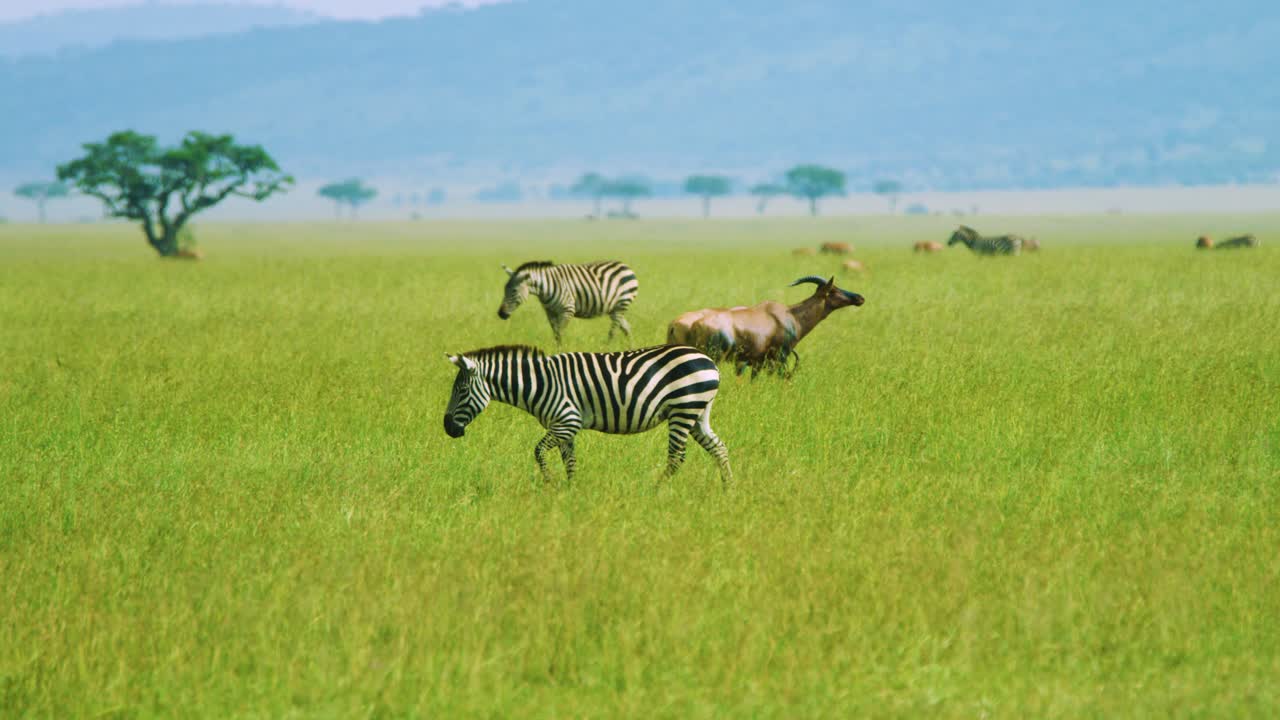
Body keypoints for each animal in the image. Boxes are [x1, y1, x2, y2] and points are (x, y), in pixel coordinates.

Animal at [443, 344, 732, 483]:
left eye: (463, 390)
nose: (447, 428)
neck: (541, 383)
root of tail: (708, 360)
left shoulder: (566, 421)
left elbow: (538, 451)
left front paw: (550, 482)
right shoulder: (565, 428)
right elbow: (570, 462)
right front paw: (571, 492)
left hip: (684, 408)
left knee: (676, 457)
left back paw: (656, 489)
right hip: (697, 413)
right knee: (719, 448)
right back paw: (728, 490)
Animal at [498, 260, 639, 344]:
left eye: (514, 291)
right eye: (504, 289)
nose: (501, 314)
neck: (545, 288)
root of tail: (625, 266)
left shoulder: (567, 310)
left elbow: (560, 333)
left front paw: (560, 351)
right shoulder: (550, 312)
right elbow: (555, 333)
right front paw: (557, 349)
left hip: (622, 304)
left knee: (613, 331)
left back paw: (607, 347)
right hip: (614, 309)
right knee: (627, 328)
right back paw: (630, 348)